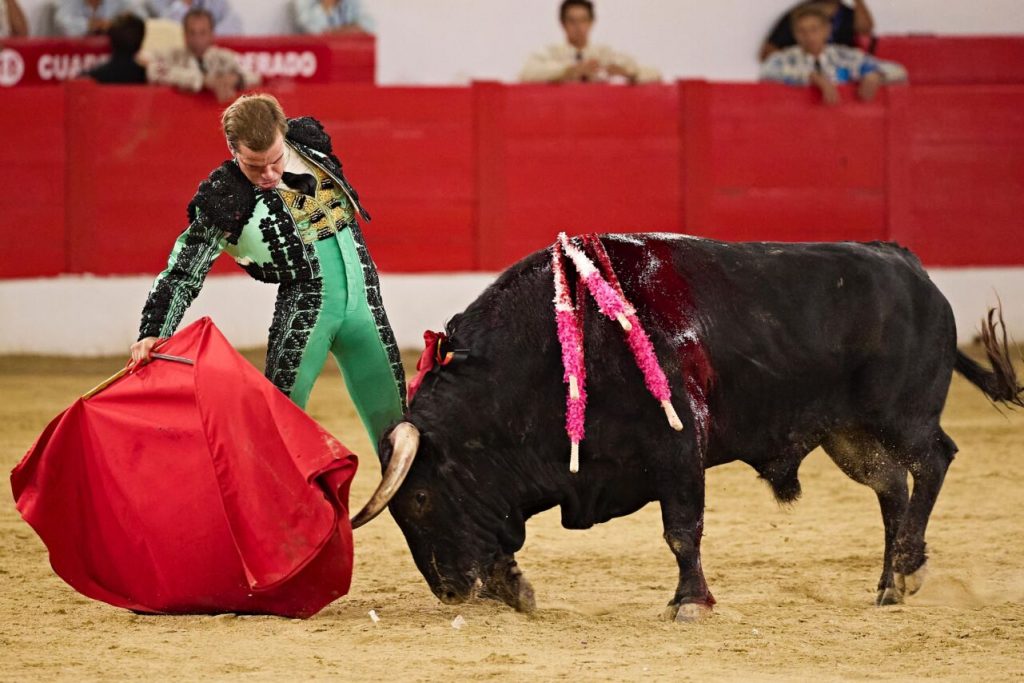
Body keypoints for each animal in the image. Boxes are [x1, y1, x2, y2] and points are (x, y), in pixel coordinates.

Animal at [348, 233, 1019, 618]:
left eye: (422, 499)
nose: (448, 591)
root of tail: (912, 267)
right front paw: (515, 588)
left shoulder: (677, 446)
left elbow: (680, 532)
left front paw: (690, 603)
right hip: (848, 436)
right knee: (891, 488)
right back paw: (889, 586)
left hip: (900, 417)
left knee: (933, 463)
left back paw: (906, 568)